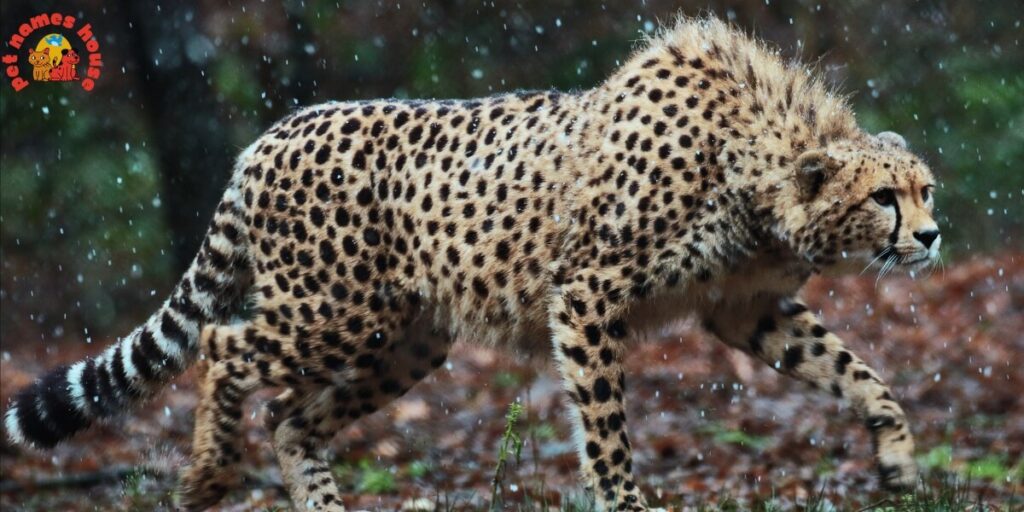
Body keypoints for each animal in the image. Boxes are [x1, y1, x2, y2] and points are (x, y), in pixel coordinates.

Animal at [5, 15, 940, 511]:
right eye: (885, 198)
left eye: (925, 189)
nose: (930, 236)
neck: (757, 164)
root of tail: (273, 131)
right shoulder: (588, 294)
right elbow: (606, 427)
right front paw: (625, 500)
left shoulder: (744, 307)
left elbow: (858, 370)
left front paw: (896, 456)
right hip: (334, 312)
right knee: (221, 348)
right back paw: (207, 475)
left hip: (408, 341)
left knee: (292, 417)